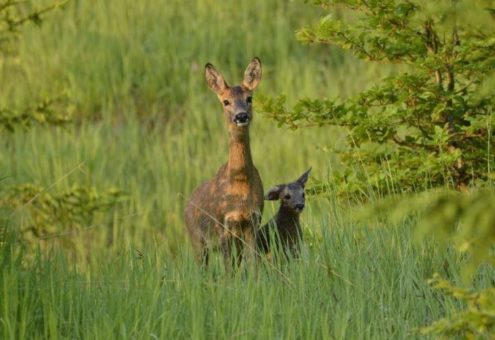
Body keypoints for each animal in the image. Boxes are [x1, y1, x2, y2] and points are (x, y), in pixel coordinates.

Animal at [185, 56, 264, 268]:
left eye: (249, 98)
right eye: (226, 101)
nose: (241, 115)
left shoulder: (253, 221)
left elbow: (253, 265)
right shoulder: (222, 225)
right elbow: (228, 269)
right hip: (197, 241)